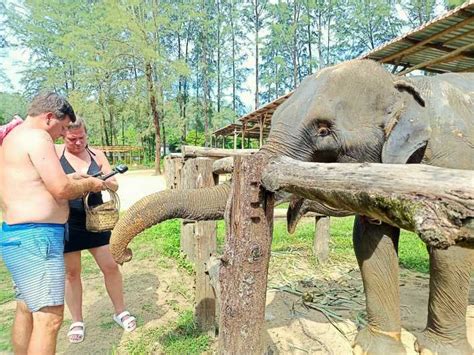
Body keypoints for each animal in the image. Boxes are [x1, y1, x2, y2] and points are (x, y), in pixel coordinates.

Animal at [111, 59, 474, 354]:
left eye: (324, 131)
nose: (126, 254)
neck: (405, 85)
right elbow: (371, 240)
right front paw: (373, 349)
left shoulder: (454, 162)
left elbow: (451, 250)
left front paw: (436, 351)